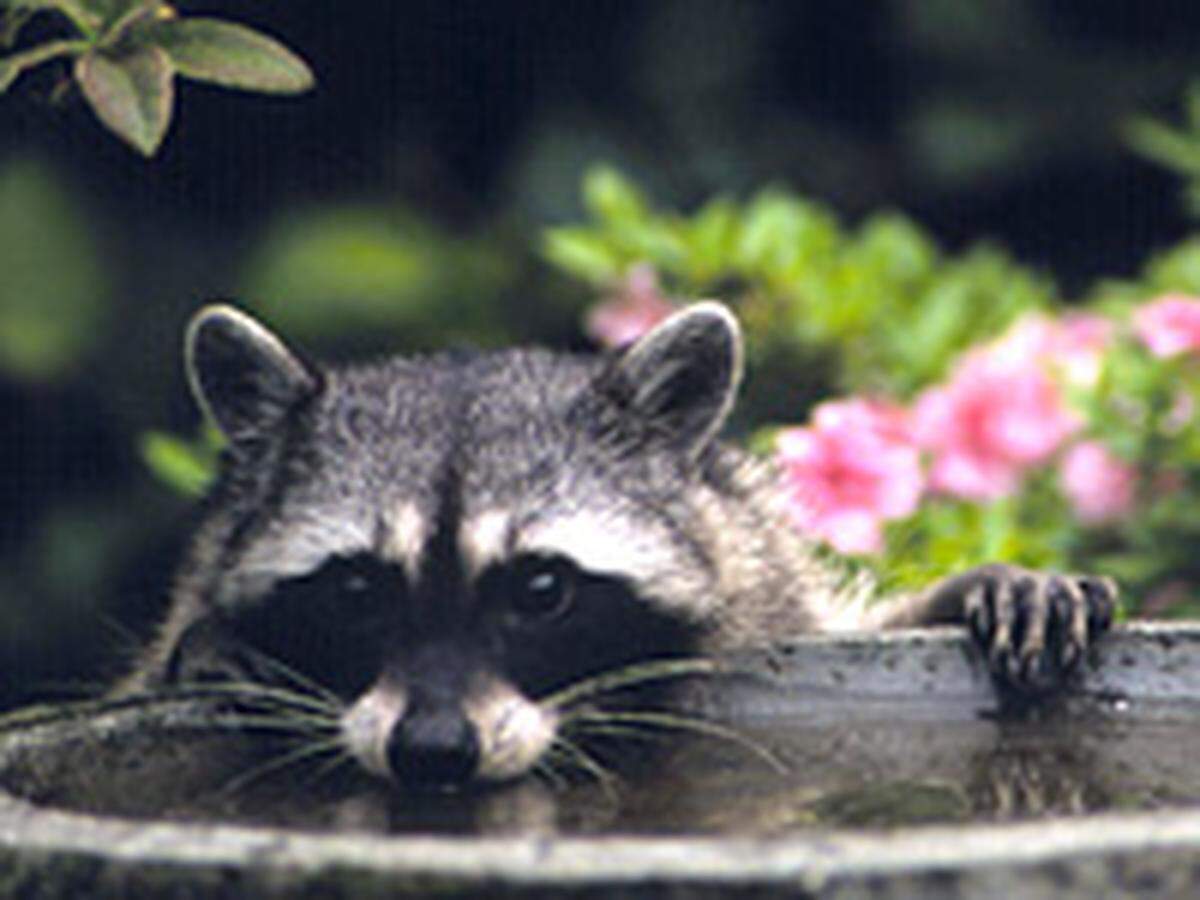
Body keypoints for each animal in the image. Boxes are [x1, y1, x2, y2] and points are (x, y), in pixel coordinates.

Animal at [122, 302, 1117, 790]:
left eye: (539, 590)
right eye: (359, 590)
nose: (435, 751)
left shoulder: (761, 574)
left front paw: (978, 586)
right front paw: (208, 646)